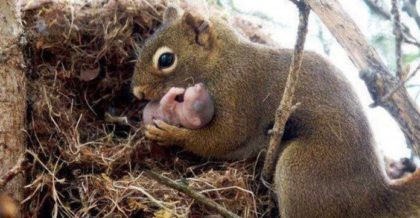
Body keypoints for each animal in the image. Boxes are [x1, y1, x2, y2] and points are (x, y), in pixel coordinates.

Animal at [131, 5, 420, 218]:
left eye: (166, 59)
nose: (137, 92)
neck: (222, 62)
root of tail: (374, 197)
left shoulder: (240, 92)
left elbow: (224, 138)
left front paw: (170, 134)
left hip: (300, 170)